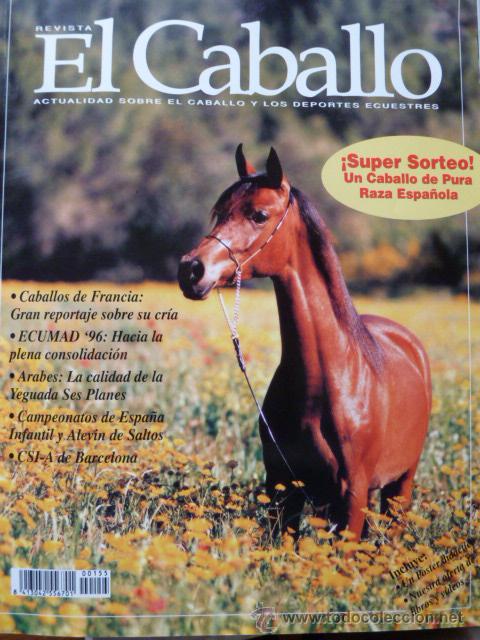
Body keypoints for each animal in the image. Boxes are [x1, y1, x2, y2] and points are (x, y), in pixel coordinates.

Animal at [178, 145, 431, 539]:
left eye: (259, 215)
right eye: (219, 213)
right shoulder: (283, 487)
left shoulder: (352, 492)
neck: (323, 383)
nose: (191, 270)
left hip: (400, 485)